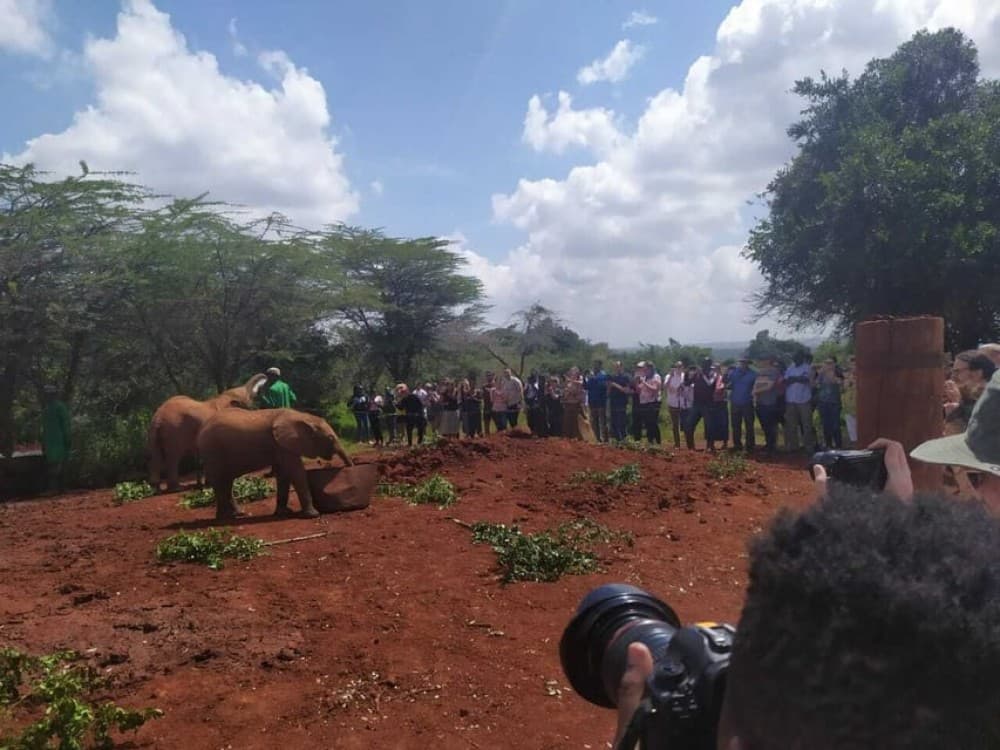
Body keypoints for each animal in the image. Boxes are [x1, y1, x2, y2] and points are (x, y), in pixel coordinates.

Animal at [196, 408, 352, 520]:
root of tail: (202, 428)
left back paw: (239, 514)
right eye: (331, 438)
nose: (350, 466)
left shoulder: (280, 446)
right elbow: (296, 472)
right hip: (213, 452)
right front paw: (313, 515)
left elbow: (284, 475)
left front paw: (284, 513)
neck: (304, 417)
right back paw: (225, 518)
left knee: (227, 482)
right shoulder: (284, 446)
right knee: (220, 482)